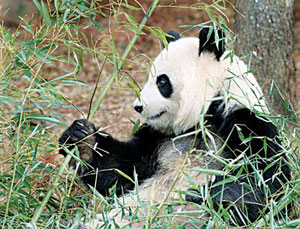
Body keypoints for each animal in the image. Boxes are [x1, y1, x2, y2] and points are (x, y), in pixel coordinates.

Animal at [58, 26, 290, 225]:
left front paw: (204, 195)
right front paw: (84, 141)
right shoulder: (159, 138)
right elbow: (124, 170)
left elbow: (267, 183)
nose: (138, 107)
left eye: (162, 81)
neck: (204, 118)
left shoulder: (246, 124)